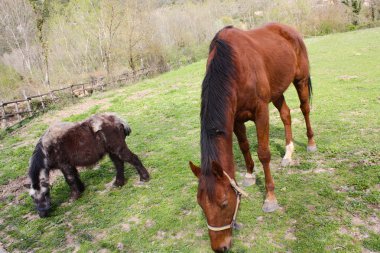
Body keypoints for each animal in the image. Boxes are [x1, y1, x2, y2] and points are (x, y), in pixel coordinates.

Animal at [189, 23, 316, 251]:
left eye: (224, 204)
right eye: (201, 205)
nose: (220, 247)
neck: (234, 66)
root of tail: (289, 29)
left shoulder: (260, 111)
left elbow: (263, 153)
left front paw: (270, 198)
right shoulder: (236, 119)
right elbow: (244, 146)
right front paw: (249, 175)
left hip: (300, 79)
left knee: (305, 109)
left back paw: (310, 143)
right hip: (277, 91)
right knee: (286, 114)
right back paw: (288, 153)